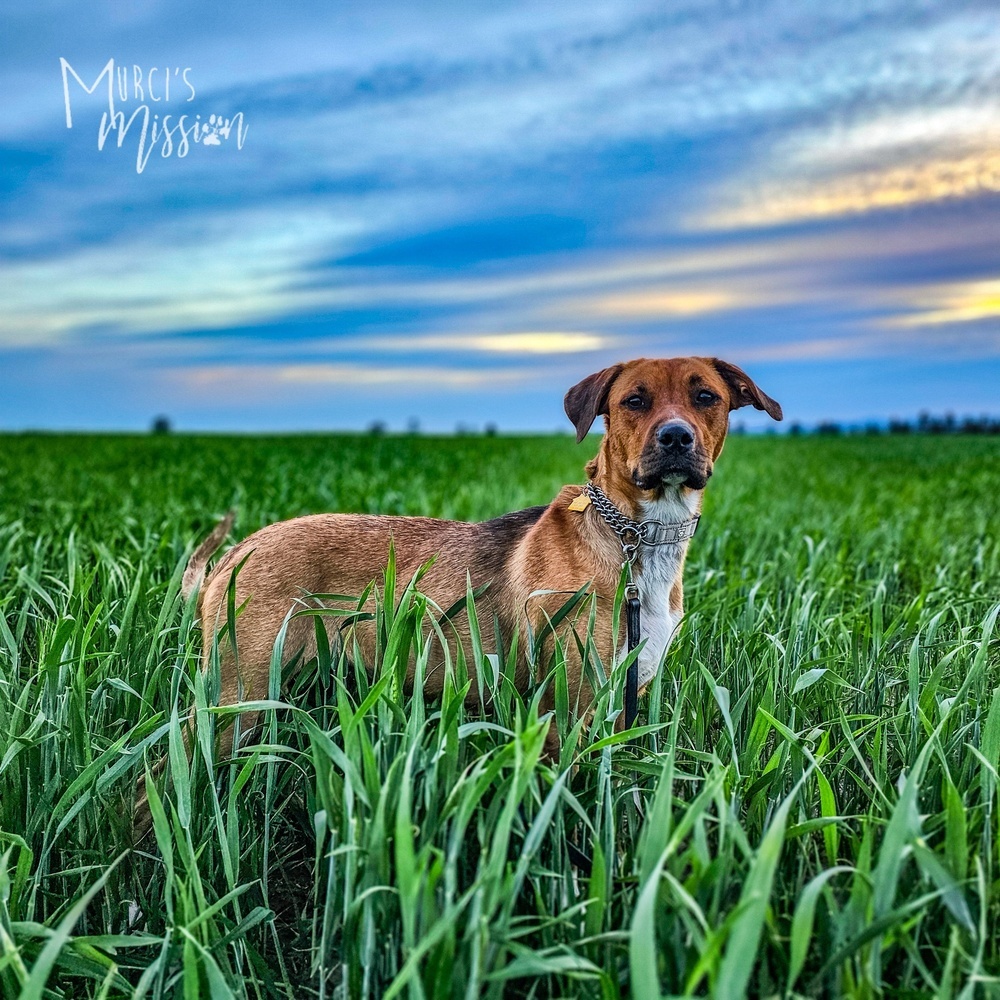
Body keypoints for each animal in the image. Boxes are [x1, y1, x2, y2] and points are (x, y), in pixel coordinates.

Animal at [135, 356, 780, 832]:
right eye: (634, 401)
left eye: (706, 397)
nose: (675, 439)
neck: (634, 536)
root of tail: (235, 554)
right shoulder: (565, 709)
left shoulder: (624, 696)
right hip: (237, 697)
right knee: (154, 783)